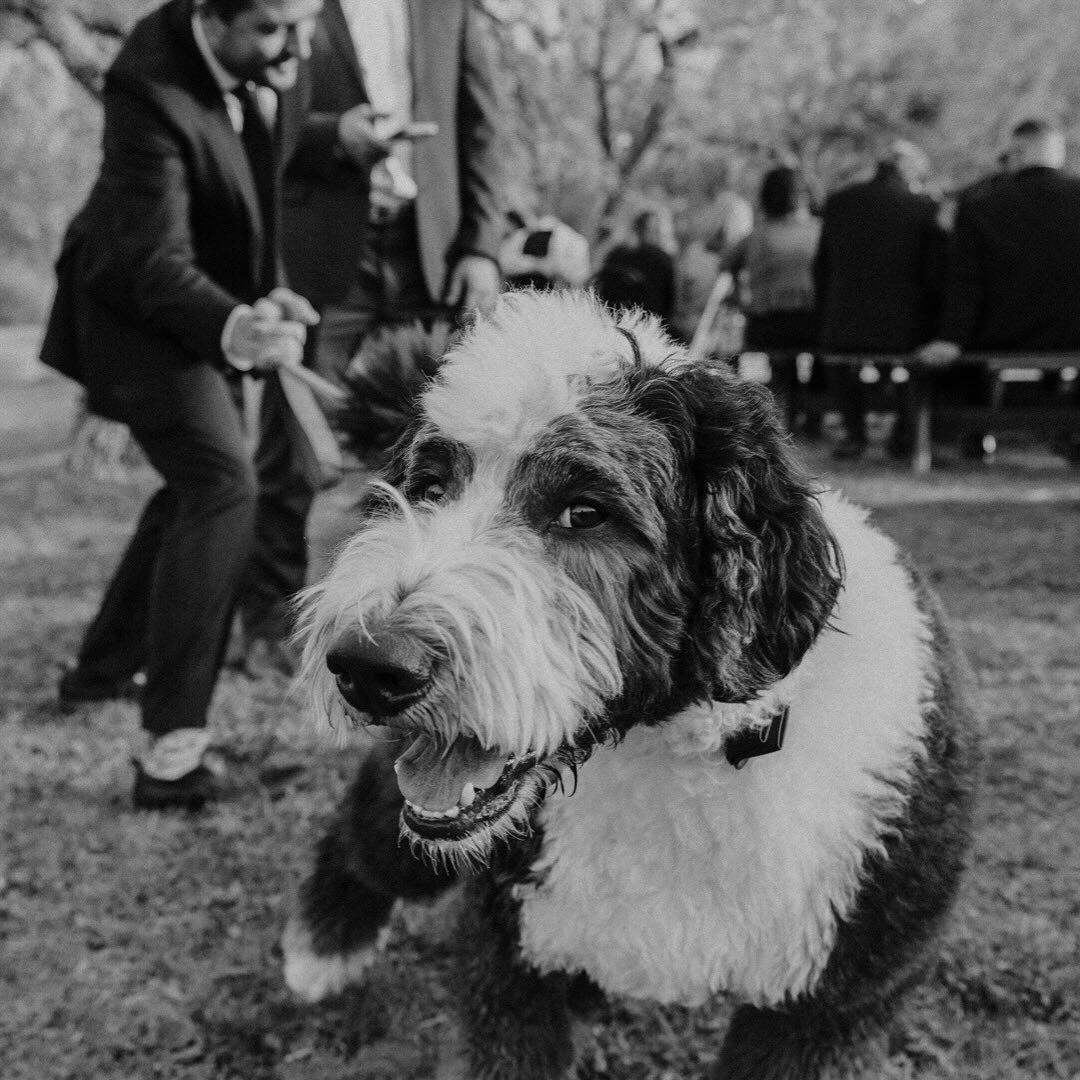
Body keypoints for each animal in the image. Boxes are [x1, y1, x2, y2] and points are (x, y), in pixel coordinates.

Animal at [280, 291, 980, 1075]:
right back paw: (322, 951)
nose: (369, 665)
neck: (681, 750)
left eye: (585, 512)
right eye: (430, 489)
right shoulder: (507, 956)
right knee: (362, 838)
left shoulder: (831, 1003)